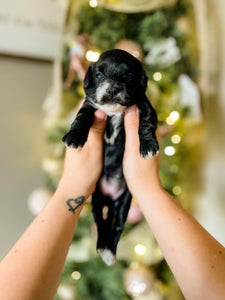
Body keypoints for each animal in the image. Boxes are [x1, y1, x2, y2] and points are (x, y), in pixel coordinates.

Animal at [62, 49, 159, 264]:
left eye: (129, 77)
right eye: (99, 75)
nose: (113, 88)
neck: (114, 112)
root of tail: (110, 198)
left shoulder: (145, 106)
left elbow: (146, 124)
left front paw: (148, 146)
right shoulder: (89, 105)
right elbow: (81, 117)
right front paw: (74, 136)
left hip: (124, 202)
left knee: (117, 225)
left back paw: (109, 251)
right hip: (96, 201)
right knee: (101, 223)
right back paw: (102, 247)